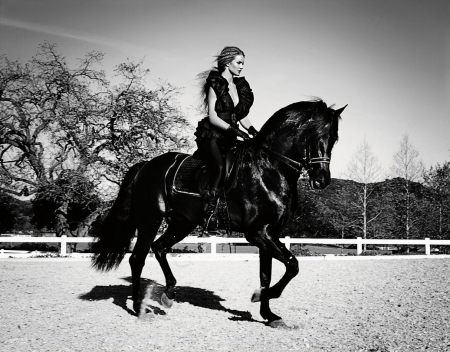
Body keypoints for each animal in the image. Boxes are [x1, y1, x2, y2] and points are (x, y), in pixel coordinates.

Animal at [90, 99, 344, 328]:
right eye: (314, 136)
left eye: (333, 138)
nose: (322, 180)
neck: (269, 167)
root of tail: (147, 165)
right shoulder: (258, 233)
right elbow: (293, 265)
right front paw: (259, 297)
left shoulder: (269, 234)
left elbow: (266, 275)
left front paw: (269, 314)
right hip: (150, 219)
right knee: (137, 258)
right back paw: (138, 308)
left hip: (182, 223)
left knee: (160, 248)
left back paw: (169, 294)